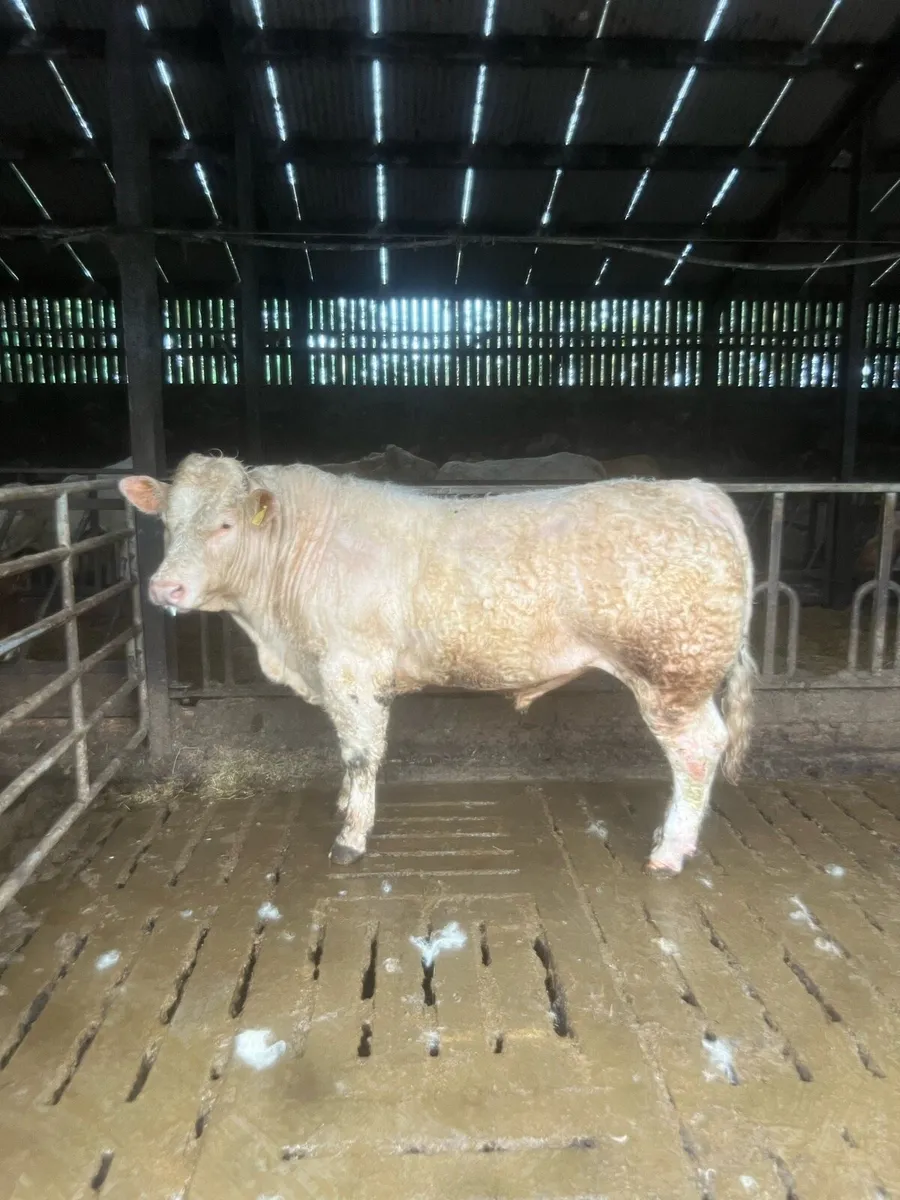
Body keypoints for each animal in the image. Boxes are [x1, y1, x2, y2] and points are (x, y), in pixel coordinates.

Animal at [119, 454, 756, 875]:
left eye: (224, 525)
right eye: (167, 524)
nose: (164, 587)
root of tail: (698, 492)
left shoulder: (353, 668)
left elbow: (360, 753)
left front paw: (351, 837)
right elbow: (348, 753)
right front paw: (347, 805)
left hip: (671, 676)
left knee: (698, 750)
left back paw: (669, 850)